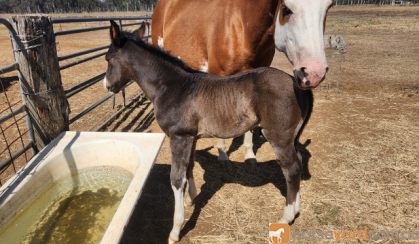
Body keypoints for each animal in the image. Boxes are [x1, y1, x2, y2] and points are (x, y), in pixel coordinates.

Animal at [103, 21, 314, 244]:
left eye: (108, 59)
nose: (107, 85)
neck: (172, 87)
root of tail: (296, 84)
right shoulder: (190, 138)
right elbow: (189, 167)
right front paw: (191, 199)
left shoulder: (179, 137)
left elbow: (176, 179)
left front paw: (175, 230)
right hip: (291, 138)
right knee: (298, 163)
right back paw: (296, 209)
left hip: (279, 137)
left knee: (291, 169)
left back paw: (286, 217)